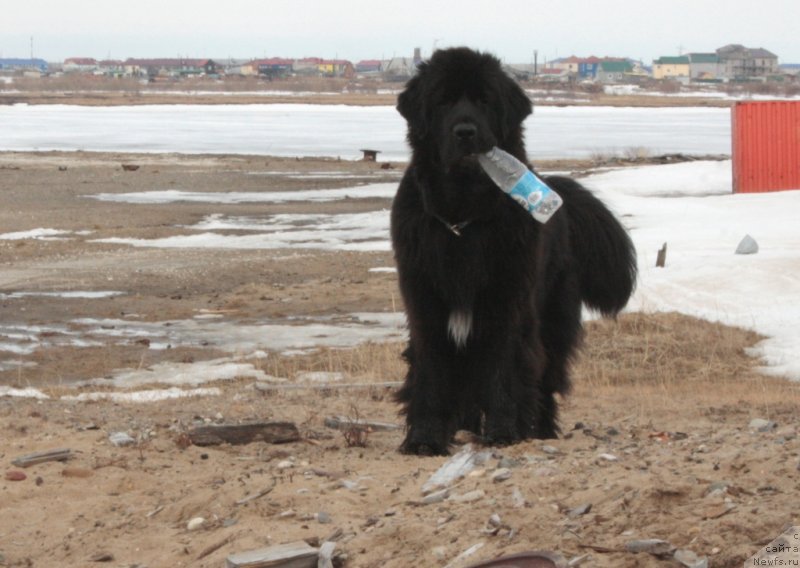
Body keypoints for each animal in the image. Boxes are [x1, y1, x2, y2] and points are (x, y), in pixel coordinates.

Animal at [390, 48, 636, 458]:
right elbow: (430, 372)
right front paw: (424, 439)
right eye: (443, 102)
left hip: (554, 318)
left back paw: (539, 429)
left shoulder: (507, 302)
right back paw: (465, 427)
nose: (466, 132)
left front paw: (504, 432)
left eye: (485, 101)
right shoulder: (425, 302)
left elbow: (505, 368)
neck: (463, 217)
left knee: (545, 377)